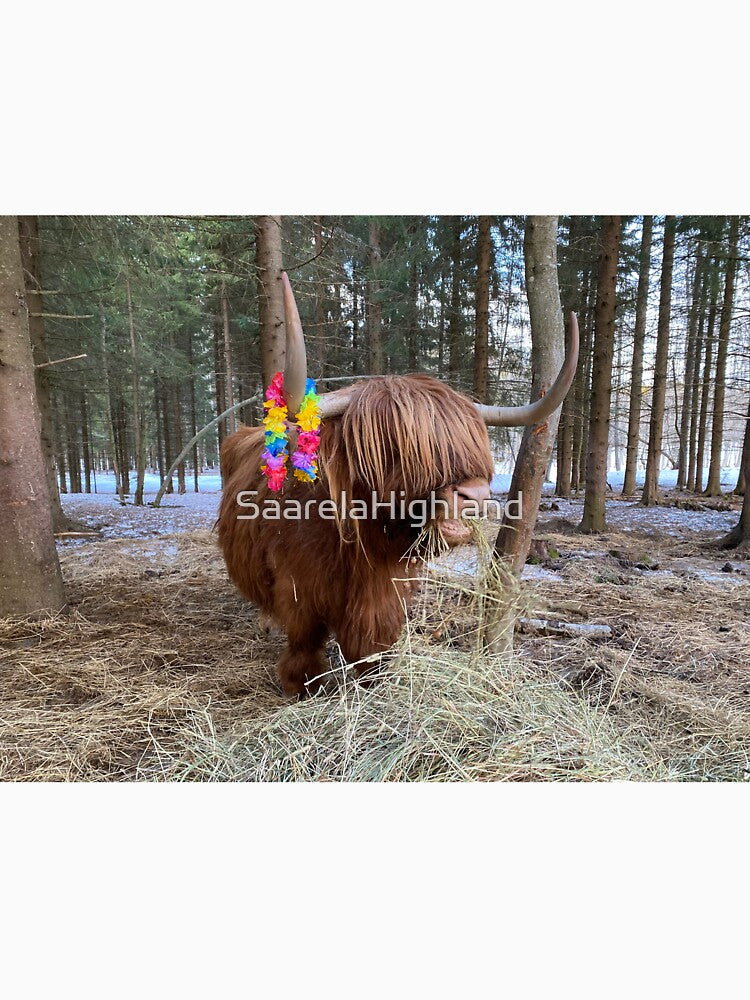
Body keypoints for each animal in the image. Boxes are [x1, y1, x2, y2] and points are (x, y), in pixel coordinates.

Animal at [218, 273, 578, 696]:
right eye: (397, 446)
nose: (474, 496)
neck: (354, 544)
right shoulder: (299, 591)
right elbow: (304, 644)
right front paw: (301, 685)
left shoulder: (384, 591)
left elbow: (372, 644)